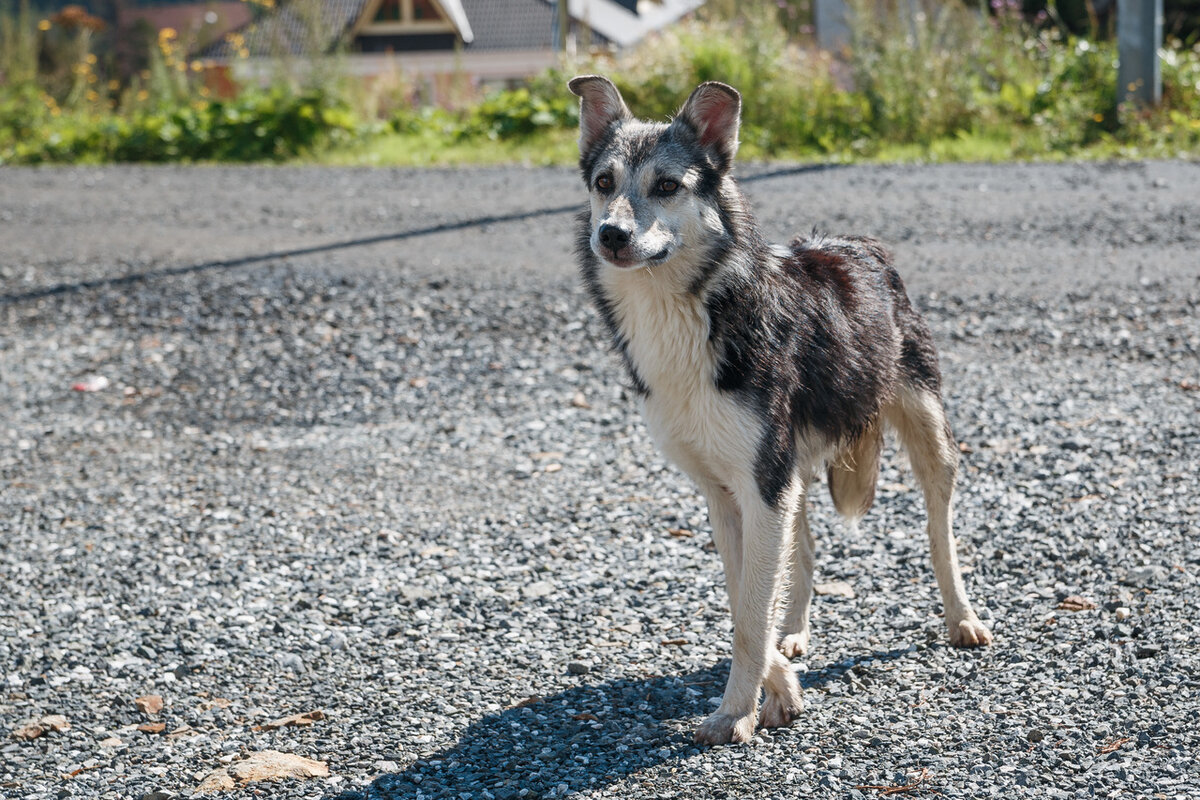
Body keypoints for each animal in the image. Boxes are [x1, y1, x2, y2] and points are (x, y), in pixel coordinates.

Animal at [568, 77, 993, 748]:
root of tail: (859, 243)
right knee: (806, 548)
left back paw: (962, 619)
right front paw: (777, 689)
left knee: (939, 531)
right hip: (792, 468)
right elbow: (745, 599)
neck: (689, 310)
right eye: (604, 182)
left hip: (925, 430)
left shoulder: (762, 481)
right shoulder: (728, 491)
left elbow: (749, 611)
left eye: (667, 186)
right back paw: (792, 634)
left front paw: (734, 711)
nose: (610, 234)